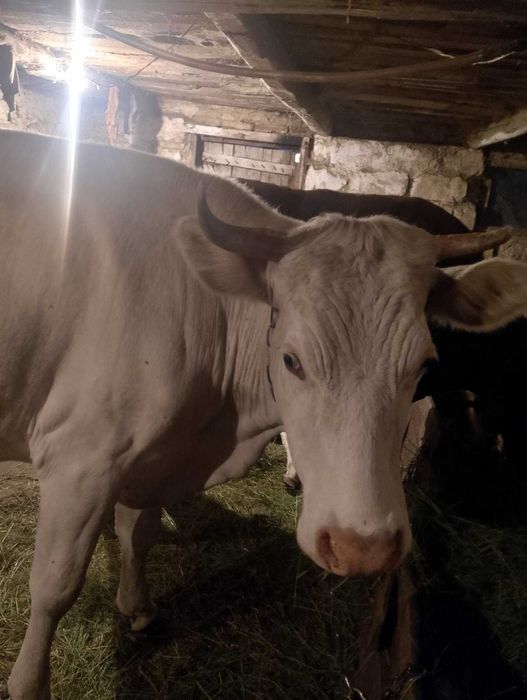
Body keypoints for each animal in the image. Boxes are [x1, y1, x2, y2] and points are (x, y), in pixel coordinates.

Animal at [1, 130, 524, 700]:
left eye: (426, 364)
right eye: (291, 360)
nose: (362, 547)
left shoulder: (148, 455)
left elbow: (139, 535)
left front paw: (137, 609)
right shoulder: (82, 458)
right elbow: (54, 586)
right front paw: (28, 683)